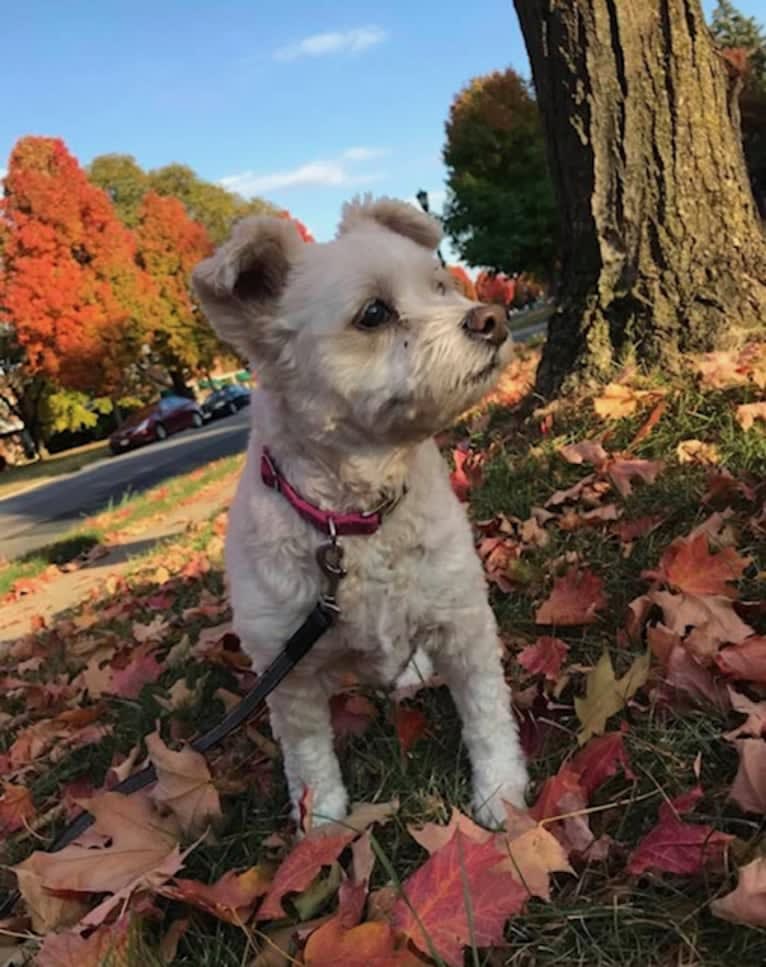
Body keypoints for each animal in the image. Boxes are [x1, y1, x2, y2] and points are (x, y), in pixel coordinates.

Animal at [194, 197, 528, 824]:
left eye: (440, 286)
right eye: (374, 313)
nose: (492, 317)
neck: (357, 518)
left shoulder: (462, 620)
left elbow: (487, 713)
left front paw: (500, 790)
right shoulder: (287, 674)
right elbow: (309, 761)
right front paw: (321, 824)